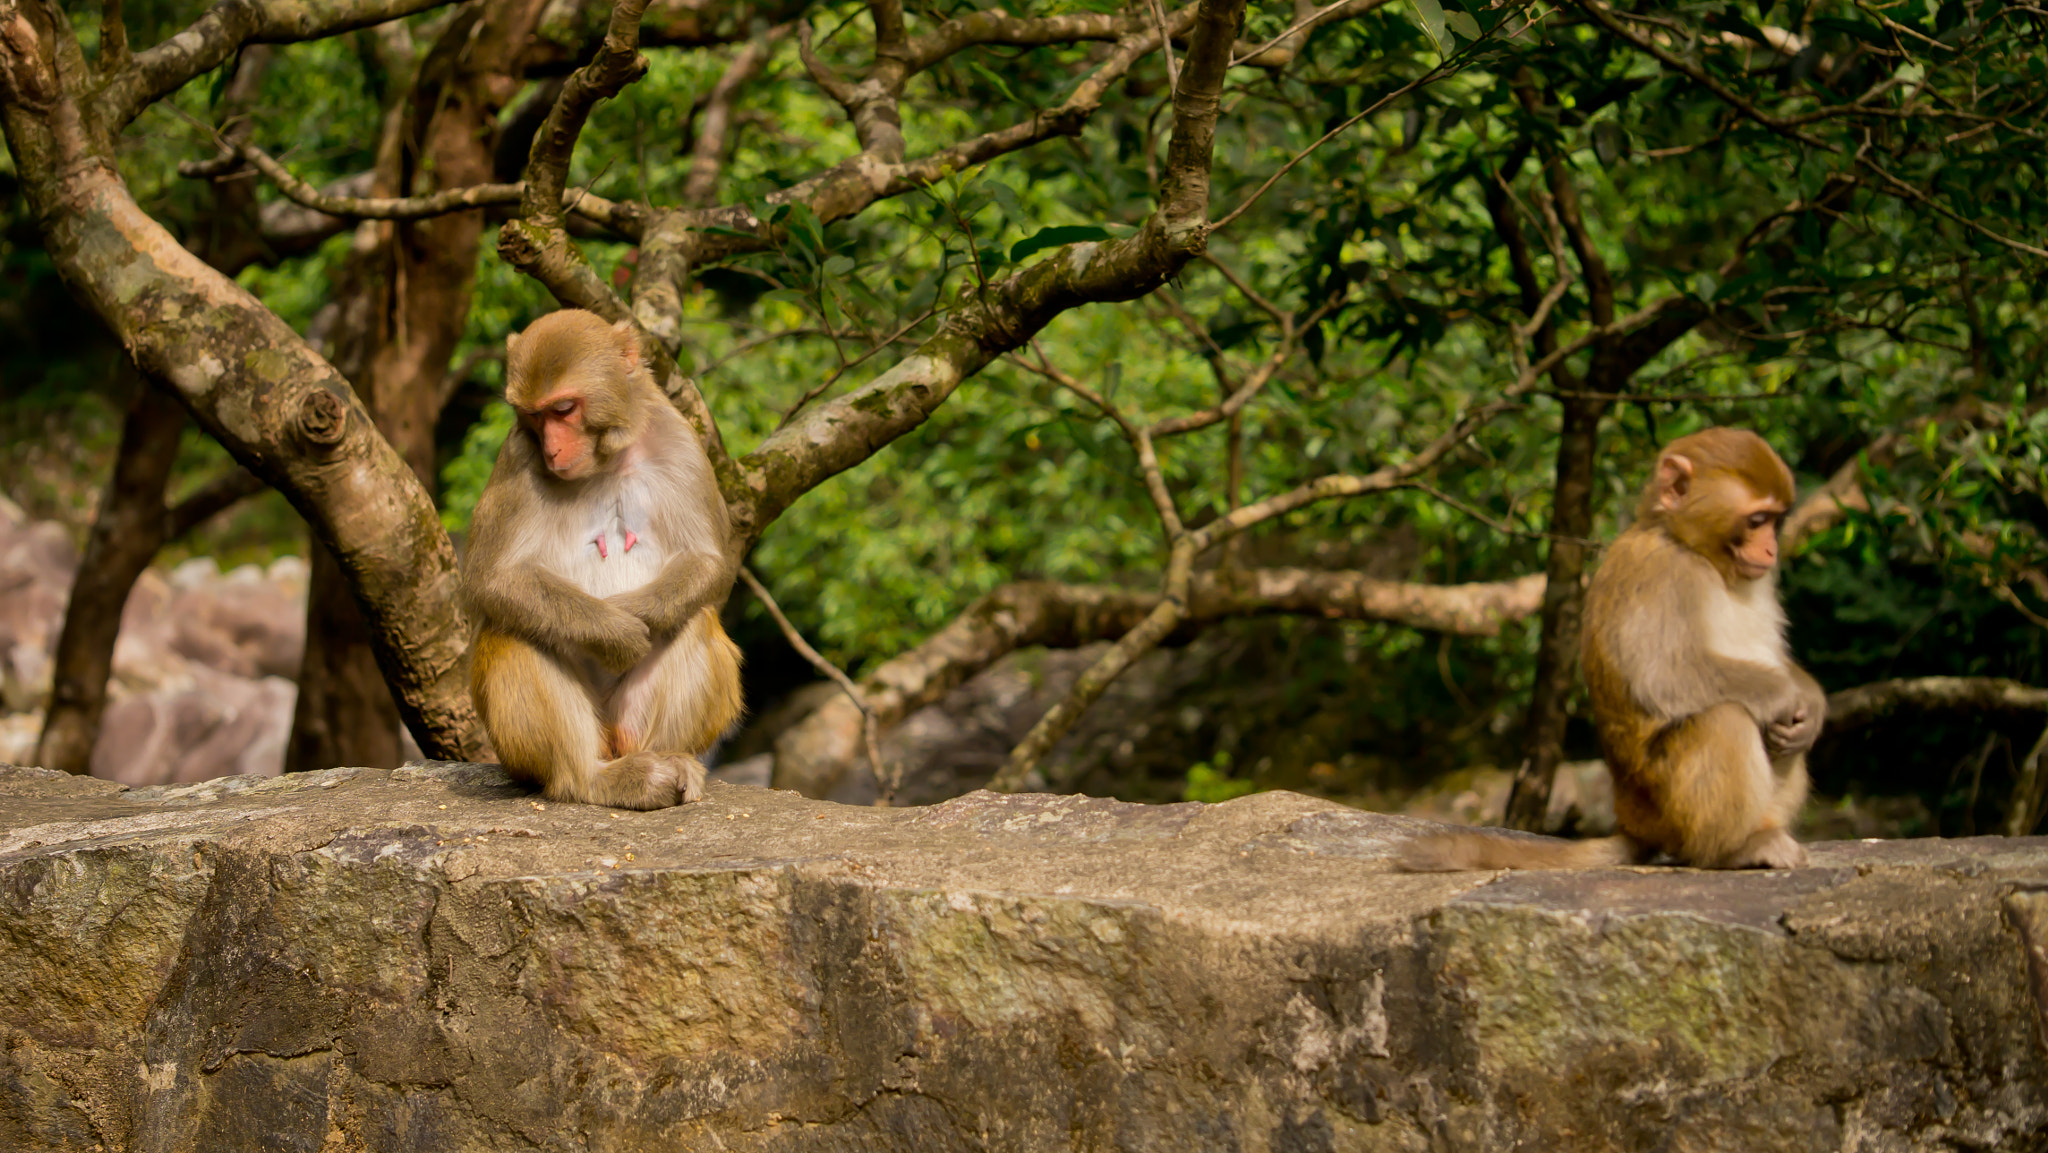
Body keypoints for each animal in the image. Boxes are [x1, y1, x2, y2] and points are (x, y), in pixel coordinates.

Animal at [462, 311, 745, 806]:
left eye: (563, 409)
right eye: (533, 415)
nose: (552, 449)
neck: (608, 459)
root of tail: (613, 741)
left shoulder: (682, 443)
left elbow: (709, 561)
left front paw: (638, 613)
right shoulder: (517, 453)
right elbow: (492, 579)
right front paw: (616, 631)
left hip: (626, 718)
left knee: (694, 618)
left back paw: (667, 760)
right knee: (512, 630)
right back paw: (592, 778)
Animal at [1409, 428, 1826, 872]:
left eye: (1777, 521)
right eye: (1757, 520)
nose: (1771, 550)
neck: (1689, 547)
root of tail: (1632, 823)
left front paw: (1812, 702)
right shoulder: (1662, 574)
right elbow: (1663, 678)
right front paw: (1786, 694)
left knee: (1778, 738)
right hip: (1665, 805)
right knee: (1725, 717)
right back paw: (1732, 848)